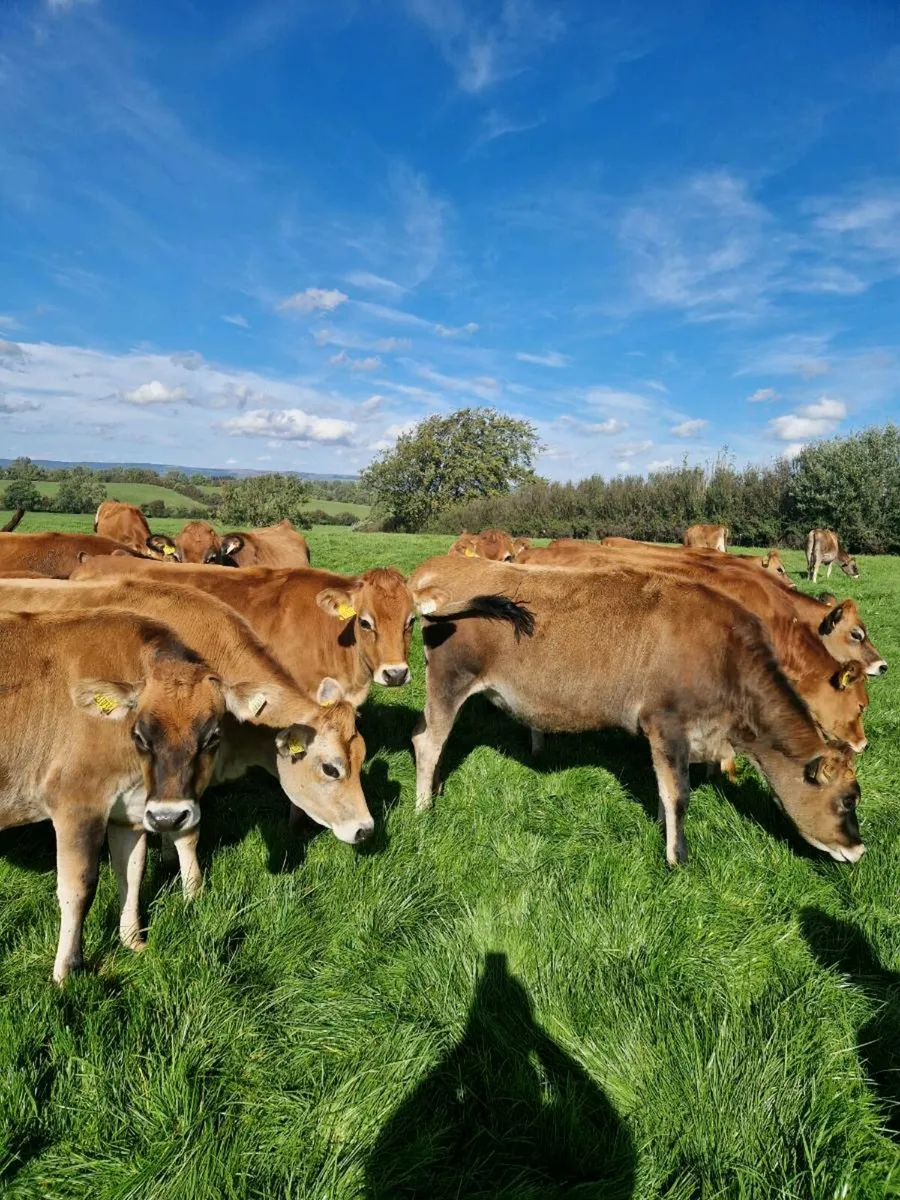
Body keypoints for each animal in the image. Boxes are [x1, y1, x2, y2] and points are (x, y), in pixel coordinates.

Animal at [0, 609, 235, 981]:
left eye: (212, 736)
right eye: (140, 735)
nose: (169, 815)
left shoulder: (131, 812)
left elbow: (132, 872)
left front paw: (132, 940)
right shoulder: (77, 803)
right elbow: (78, 887)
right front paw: (66, 972)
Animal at [408, 556, 865, 868]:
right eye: (847, 801)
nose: (859, 849)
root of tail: (438, 566)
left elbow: (664, 790)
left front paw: (663, 831)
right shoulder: (667, 723)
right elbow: (678, 794)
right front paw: (678, 858)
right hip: (450, 679)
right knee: (427, 740)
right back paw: (423, 808)